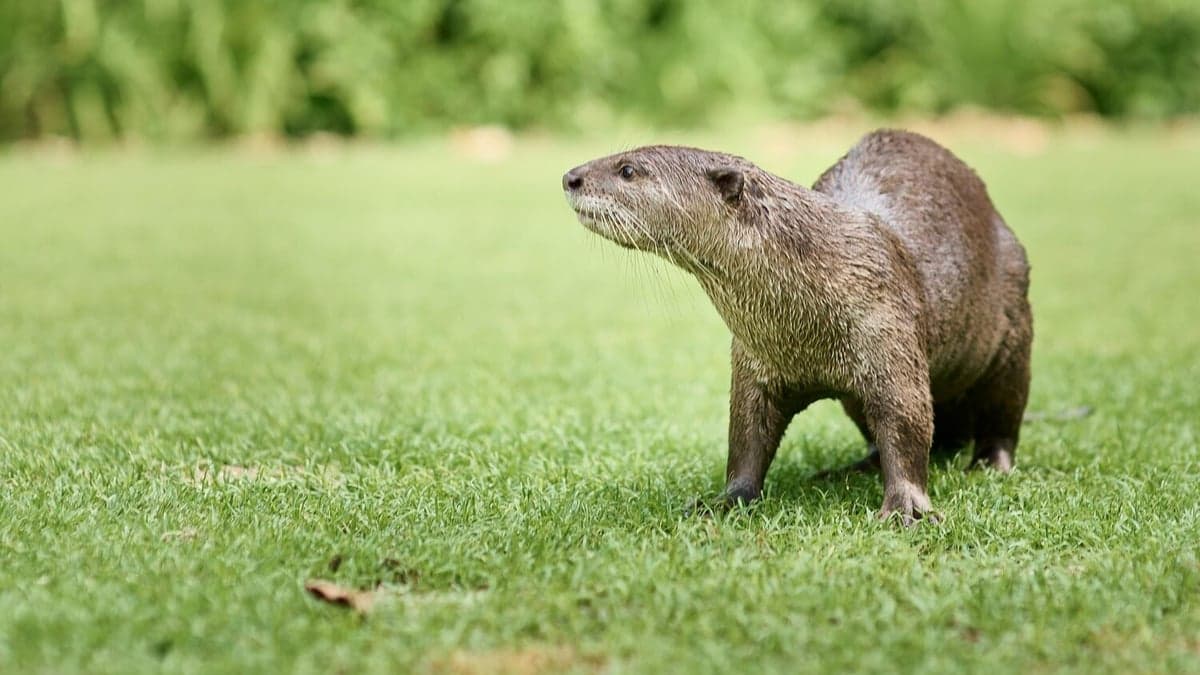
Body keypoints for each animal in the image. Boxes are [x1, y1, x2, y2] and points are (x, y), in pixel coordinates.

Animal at [561, 130, 1032, 524]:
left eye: (627, 169)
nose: (570, 177)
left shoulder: (890, 334)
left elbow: (906, 420)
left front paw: (906, 509)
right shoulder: (752, 362)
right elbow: (745, 437)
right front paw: (725, 501)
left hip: (1013, 329)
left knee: (1003, 412)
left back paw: (989, 465)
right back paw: (850, 469)